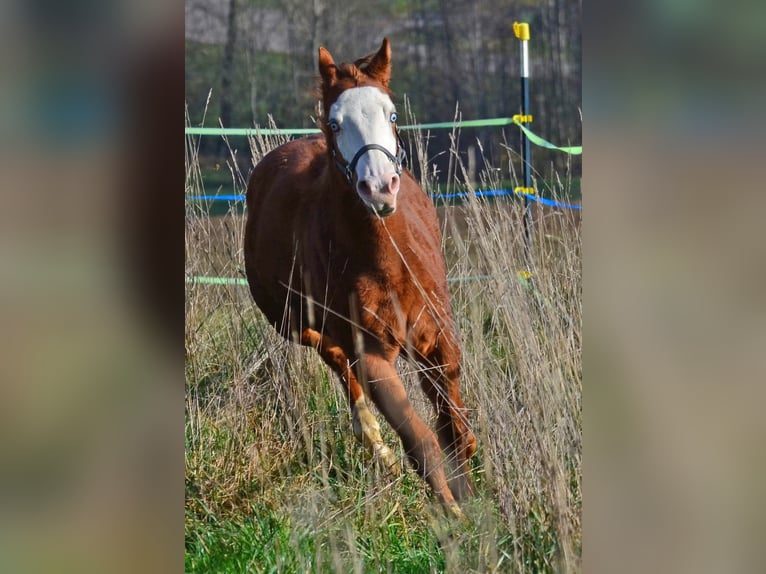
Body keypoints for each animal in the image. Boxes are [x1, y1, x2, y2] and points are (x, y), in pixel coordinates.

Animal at [244, 38, 477, 518]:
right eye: (335, 122)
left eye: (392, 114)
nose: (380, 187)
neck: (385, 260)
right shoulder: (371, 354)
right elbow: (421, 441)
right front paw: (453, 516)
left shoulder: (438, 340)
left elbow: (454, 427)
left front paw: (472, 497)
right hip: (293, 322)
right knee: (332, 355)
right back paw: (374, 442)